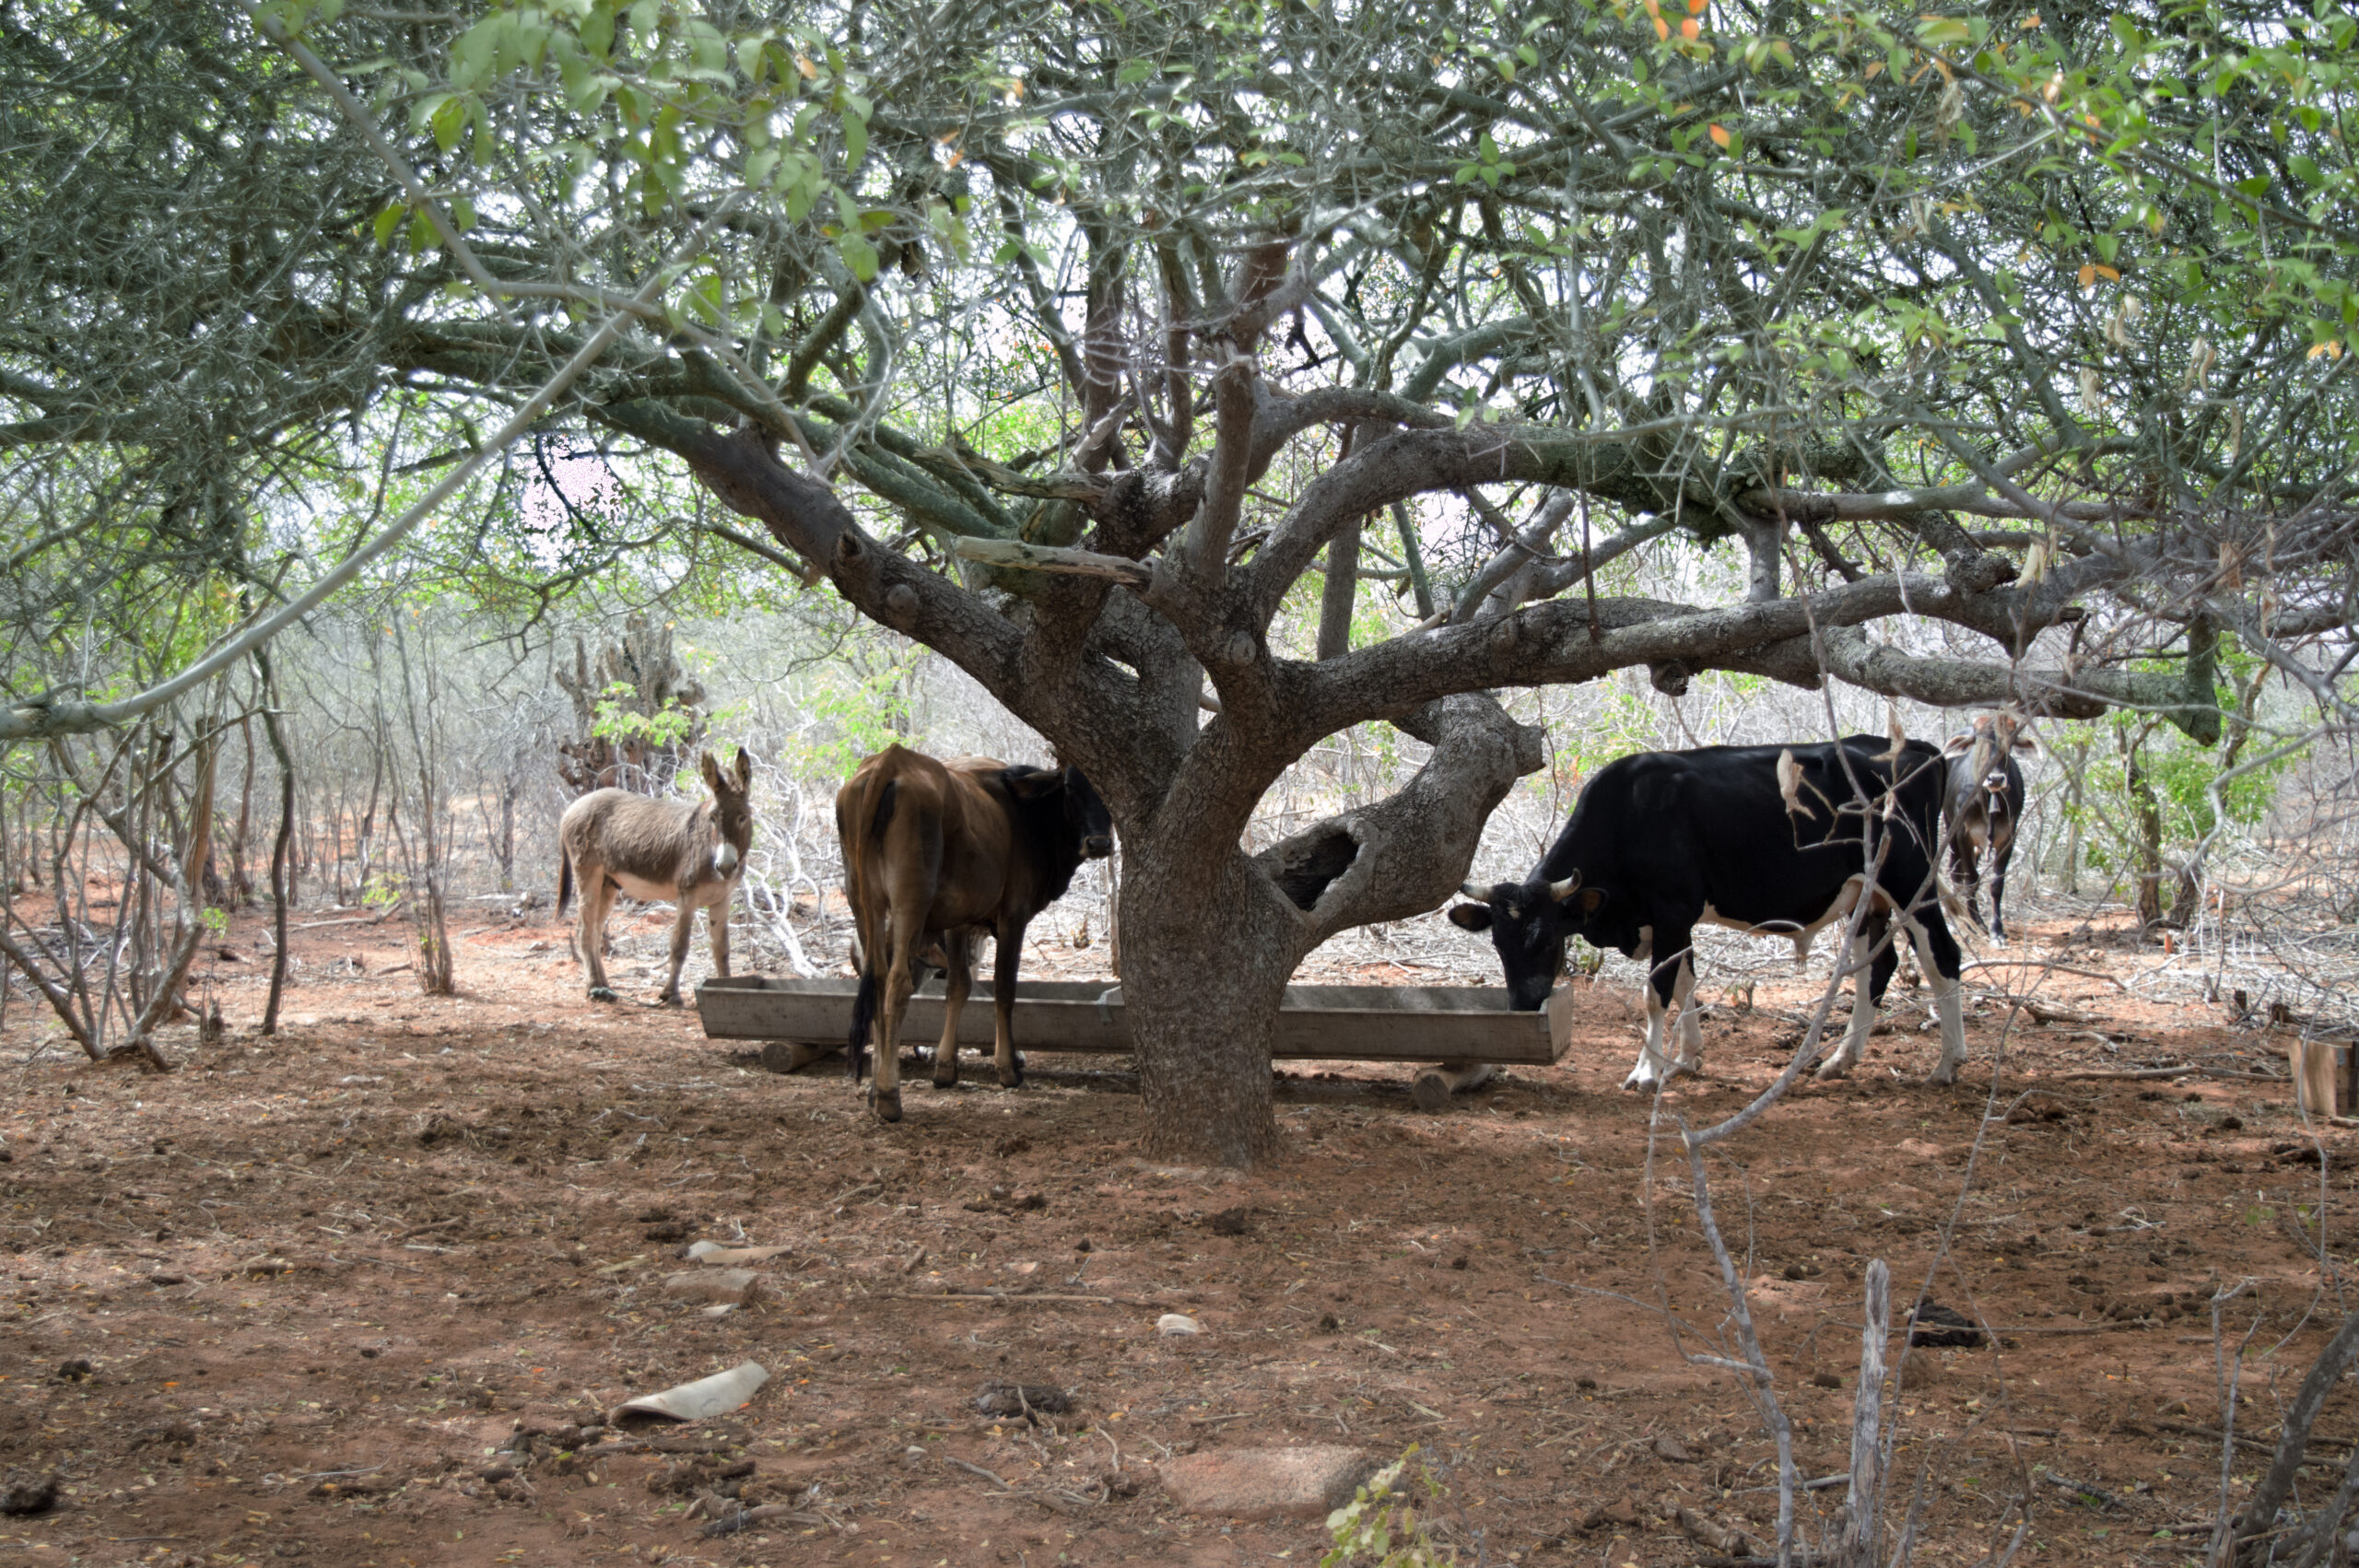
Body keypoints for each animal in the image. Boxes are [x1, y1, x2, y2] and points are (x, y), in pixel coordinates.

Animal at [557, 744, 750, 1004]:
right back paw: (594, 988)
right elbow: (679, 946)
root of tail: (573, 806)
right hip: (587, 873)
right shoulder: (688, 896)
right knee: (584, 930)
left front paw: (726, 986)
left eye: (743, 818)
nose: (726, 866)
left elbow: (722, 949)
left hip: (608, 883)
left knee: (596, 931)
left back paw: (605, 987)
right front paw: (670, 994)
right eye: (712, 819)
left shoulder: (722, 899)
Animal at [839, 744, 1113, 1117]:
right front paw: (1008, 1068)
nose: (1099, 843)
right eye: (1071, 787)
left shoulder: (959, 922)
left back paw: (874, 1090)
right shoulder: (1013, 915)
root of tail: (893, 760)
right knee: (898, 984)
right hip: (910, 901)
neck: (1026, 815)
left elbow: (958, 987)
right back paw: (888, 1095)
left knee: (878, 981)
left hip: (862, 903)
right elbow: (1004, 988)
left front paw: (945, 1067)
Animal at [1443, 735, 1962, 1089]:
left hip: (1912, 881)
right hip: (1866, 897)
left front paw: (1647, 1071)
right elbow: (1686, 983)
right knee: (1877, 965)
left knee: (1942, 957)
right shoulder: (1669, 922)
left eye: (1547, 940)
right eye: (1498, 944)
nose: (1523, 1004)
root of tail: (1917, 749)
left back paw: (1948, 1063)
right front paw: (1687, 1057)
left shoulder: (1674, 910)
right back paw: (1841, 1059)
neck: (1629, 814)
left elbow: (1657, 993)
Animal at [1943, 707, 2037, 942]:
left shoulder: (2009, 838)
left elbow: (1996, 884)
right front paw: (1977, 922)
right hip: (1950, 828)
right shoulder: (1963, 835)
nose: (1995, 779)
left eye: (2010, 739)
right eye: (1979, 738)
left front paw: (1997, 930)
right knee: (1956, 872)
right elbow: (1972, 880)